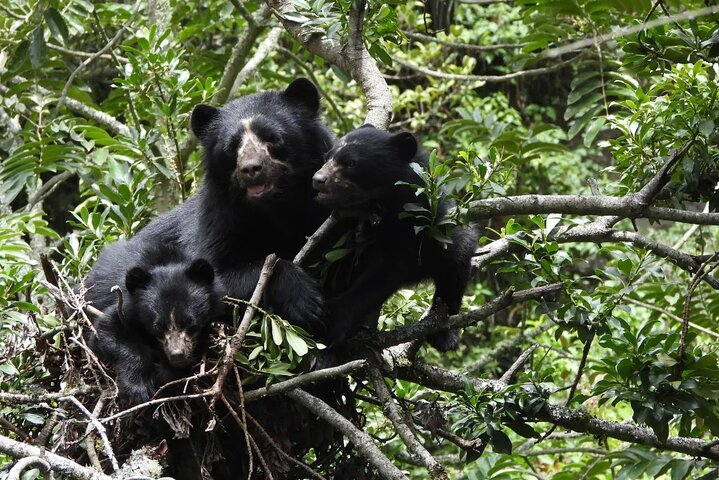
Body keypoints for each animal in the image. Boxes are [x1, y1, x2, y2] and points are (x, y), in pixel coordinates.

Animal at [84, 78, 334, 335]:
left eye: (272, 138)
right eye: (232, 147)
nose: (251, 168)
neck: (275, 208)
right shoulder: (218, 219)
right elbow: (216, 277)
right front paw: (305, 301)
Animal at [87, 244, 219, 405]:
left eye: (192, 324)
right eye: (158, 328)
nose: (177, 354)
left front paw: (165, 376)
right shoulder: (124, 306)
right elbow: (106, 331)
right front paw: (137, 390)